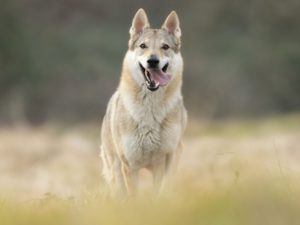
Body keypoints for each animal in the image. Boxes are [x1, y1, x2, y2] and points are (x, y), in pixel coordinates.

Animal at [99, 7, 186, 196]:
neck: (150, 111)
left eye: (165, 47)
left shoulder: (166, 159)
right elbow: (134, 197)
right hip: (115, 172)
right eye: (143, 46)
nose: (152, 61)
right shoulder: (130, 165)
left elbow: (160, 193)